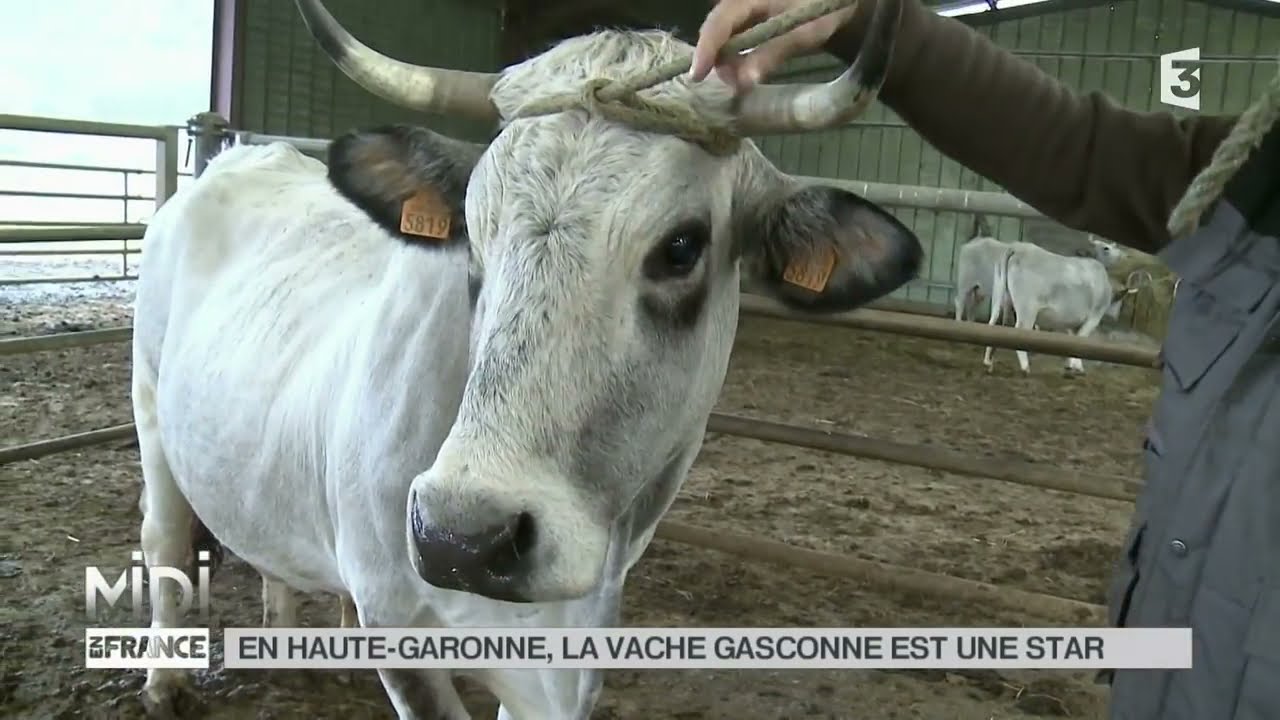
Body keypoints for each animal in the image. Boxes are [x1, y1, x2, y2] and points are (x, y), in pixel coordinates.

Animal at [130, 1, 920, 718]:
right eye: (471, 236)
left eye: (681, 246)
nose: (462, 540)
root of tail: (242, 154)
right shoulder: (394, 618)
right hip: (151, 418)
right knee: (165, 544)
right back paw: (165, 681)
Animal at [982, 238, 1126, 375]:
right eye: (1106, 248)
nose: (1121, 254)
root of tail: (1017, 247)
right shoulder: (1094, 316)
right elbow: (1082, 338)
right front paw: (1077, 368)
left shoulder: (1073, 322)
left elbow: (1074, 341)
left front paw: (1070, 366)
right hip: (1027, 307)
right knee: (1020, 329)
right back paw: (1025, 367)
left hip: (1000, 296)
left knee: (995, 323)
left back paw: (988, 363)